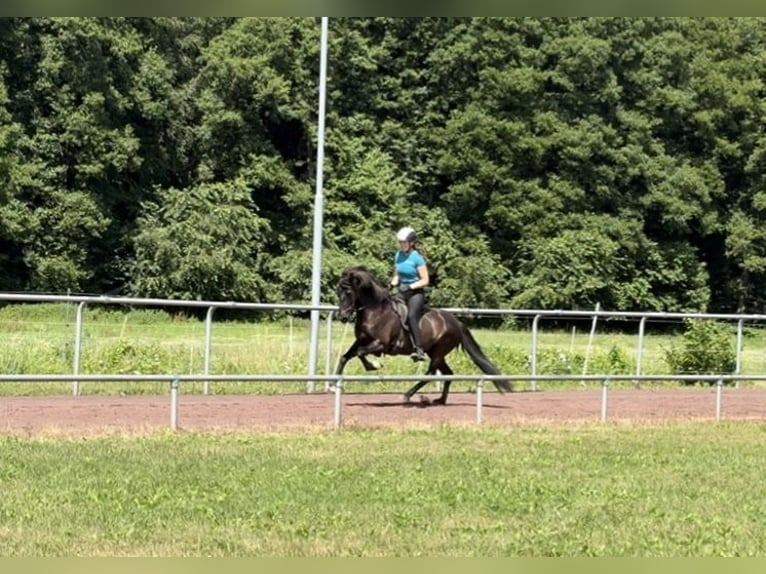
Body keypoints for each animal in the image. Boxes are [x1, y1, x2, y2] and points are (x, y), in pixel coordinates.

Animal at [335, 266, 512, 405]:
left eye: (348, 292)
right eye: (338, 292)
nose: (342, 317)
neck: (375, 311)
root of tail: (456, 322)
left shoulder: (381, 344)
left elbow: (360, 353)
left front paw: (374, 365)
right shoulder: (361, 340)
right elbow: (345, 356)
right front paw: (333, 384)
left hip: (439, 352)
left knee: (430, 374)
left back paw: (407, 396)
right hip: (434, 352)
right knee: (448, 373)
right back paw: (440, 400)